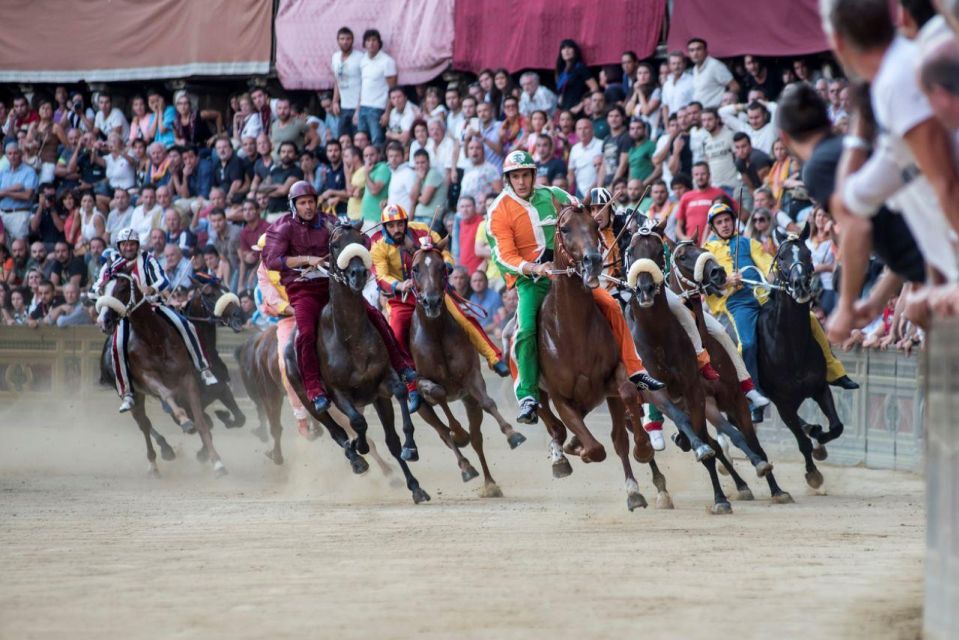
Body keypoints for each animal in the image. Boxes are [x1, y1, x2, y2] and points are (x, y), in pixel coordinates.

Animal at [404, 238, 524, 498]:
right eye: (415, 269)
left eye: (443, 267)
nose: (432, 302)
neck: (436, 335)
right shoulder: (420, 381)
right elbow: (439, 394)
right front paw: (459, 434)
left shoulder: (471, 378)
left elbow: (488, 403)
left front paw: (513, 434)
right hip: (422, 407)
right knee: (441, 431)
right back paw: (465, 465)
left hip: (468, 400)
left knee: (477, 437)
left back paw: (489, 482)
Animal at [528, 198, 672, 512]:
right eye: (565, 228)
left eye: (594, 225)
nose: (593, 260)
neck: (571, 330)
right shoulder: (559, 395)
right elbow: (595, 447)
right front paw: (580, 450)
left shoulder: (612, 379)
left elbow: (625, 411)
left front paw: (640, 461)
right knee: (550, 421)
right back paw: (561, 455)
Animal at [668, 235, 796, 504]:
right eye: (682, 256)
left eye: (703, 248)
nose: (717, 272)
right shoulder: (701, 403)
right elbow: (717, 443)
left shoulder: (736, 399)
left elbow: (753, 442)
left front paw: (777, 489)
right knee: (711, 444)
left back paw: (742, 484)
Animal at [760, 230, 844, 490]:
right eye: (782, 257)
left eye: (807, 254)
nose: (800, 285)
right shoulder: (782, 401)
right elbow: (801, 441)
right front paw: (813, 474)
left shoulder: (819, 387)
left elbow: (836, 427)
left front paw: (819, 441)